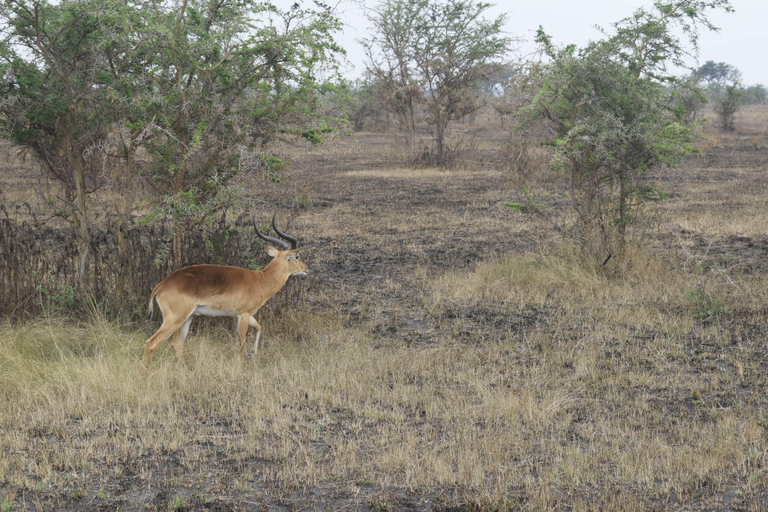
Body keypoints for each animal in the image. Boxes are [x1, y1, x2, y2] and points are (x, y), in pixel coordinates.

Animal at [140, 213, 308, 368]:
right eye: (297, 256)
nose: (306, 269)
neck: (261, 280)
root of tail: (161, 285)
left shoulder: (245, 315)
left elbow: (259, 327)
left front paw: (252, 353)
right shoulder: (243, 315)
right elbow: (242, 343)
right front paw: (245, 361)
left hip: (188, 317)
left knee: (177, 343)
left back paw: (188, 369)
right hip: (175, 319)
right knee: (151, 342)